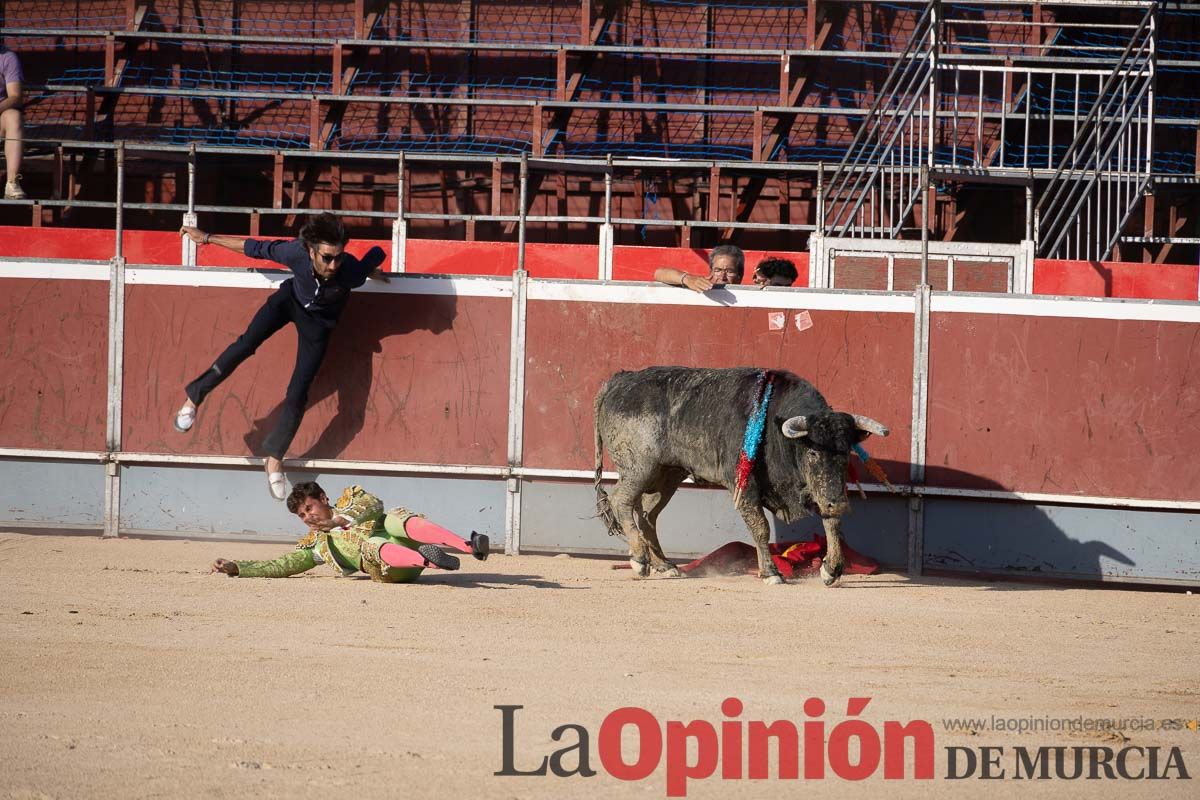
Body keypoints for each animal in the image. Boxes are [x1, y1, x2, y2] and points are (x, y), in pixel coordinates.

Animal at [592, 369, 892, 587]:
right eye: (813, 452)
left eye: (847, 451)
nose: (839, 502)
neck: (776, 433)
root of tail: (620, 379)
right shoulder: (744, 486)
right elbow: (761, 527)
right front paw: (771, 573)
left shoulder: (820, 490)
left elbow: (832, 523)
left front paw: (831, 570)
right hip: (638, 468)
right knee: (621, 501)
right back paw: (640, 559)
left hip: (667, 475)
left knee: (647, 515)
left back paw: (664, 566)